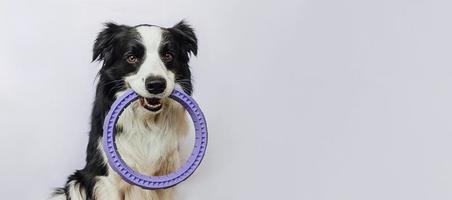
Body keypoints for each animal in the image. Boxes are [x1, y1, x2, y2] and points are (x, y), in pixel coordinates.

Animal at [50, 20, 198, 200]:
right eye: (131, 58)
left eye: (168, 56)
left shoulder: (166, 179)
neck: (147, 121)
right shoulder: (108, 180)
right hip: (76, 182)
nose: (156, 85)